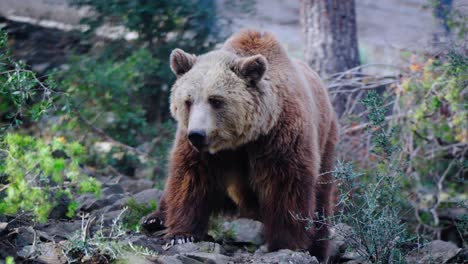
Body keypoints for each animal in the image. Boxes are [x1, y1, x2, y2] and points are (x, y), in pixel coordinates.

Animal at [141, 29, 338, 262]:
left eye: (216, 100)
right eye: (188, 101)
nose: (197, 135)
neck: (239, 140)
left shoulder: (280, 136)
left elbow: (287, 185)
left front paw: (287, 244)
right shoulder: (201, 151)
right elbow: (190, 178)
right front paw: (181, 235)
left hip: (327, 138)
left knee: (321, 195)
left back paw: (319, 246)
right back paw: (154, 219)